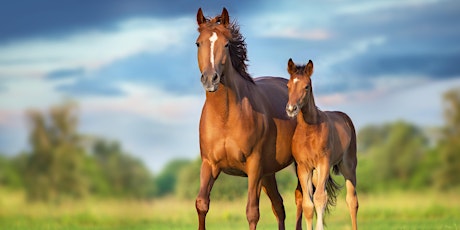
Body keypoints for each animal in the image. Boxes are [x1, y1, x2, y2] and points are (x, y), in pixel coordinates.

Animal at [194, 7, 302, 230]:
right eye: (198, 43)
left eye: (226, 44)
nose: (210, 79)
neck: (225, 117)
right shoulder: (209, 164)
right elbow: (202, 204)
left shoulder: (254, 166)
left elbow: (252, 212)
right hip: (268, 173)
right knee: (279, 206)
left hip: (297, 165)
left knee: (302, 199)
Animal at [284, 58, 360, 230]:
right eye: (288, 85)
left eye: (306, 86)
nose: (291, 109)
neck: (309, 130)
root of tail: (345, 117)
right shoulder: (303, 167)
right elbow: (308, 204)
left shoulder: (323, 163)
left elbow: (319, 199)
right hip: (316, 174)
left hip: (348, 166)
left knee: (352, 201)